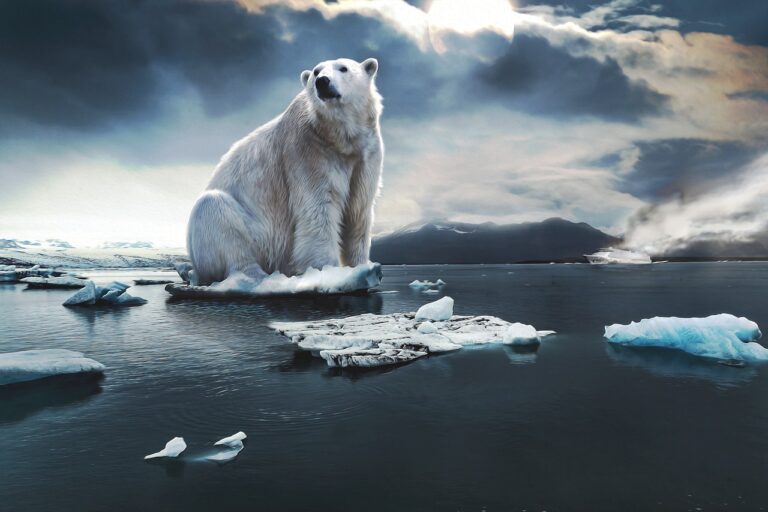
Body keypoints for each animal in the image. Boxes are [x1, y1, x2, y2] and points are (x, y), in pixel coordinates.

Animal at [187, 59, 384, 288]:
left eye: (343, 68)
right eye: (316, 71)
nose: (322, 81)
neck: (339, 138)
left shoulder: (366, 154)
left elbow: (358, 209)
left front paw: (360, 266)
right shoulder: (308, 150)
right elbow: (318, 209)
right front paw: (328, 271)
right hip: (258, 234)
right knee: (214, 211)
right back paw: (254, 276)